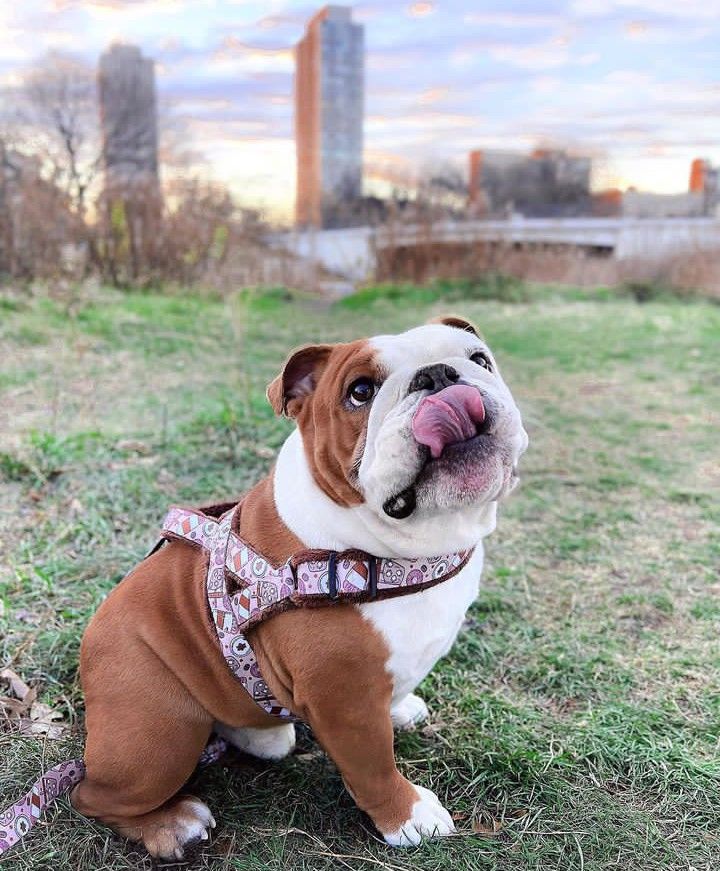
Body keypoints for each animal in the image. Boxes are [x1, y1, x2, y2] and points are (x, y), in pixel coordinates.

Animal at [70, 316, 524, 860]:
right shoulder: (345, 699)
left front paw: (401, 707)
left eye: (479, 360)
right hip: (158, 735)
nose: (438, 375)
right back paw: (172, 825)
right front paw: (408, 817)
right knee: (91, 796)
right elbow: (374, 766)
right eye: (360, 392)